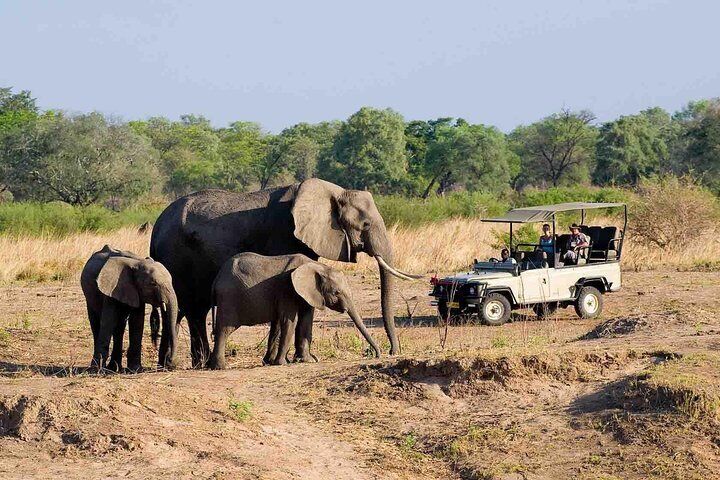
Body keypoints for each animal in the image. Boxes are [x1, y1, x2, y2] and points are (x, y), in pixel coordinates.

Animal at [79, 246, 179, 374]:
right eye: (153, 284)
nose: (171, 363)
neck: (137, 262)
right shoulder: (111, 289)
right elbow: (108, 321)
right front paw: (96, 370)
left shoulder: (136, 291)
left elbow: (137, 322)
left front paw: (135, 369)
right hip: (89, 295)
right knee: (97, 323)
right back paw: (102, 367)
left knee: (119, 327)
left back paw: (114, 368)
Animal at [208, 251, 380, 368]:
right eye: (336, 292)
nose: (375, 355)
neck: (318, 267)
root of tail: (216, 278)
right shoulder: (287, 289)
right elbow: (290, 321)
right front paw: (283, 363)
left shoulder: (308, 293)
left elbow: (304, 321)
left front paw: (306, 360)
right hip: (228, 298)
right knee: (224, 329)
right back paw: (221, 367)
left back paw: (210, 365)